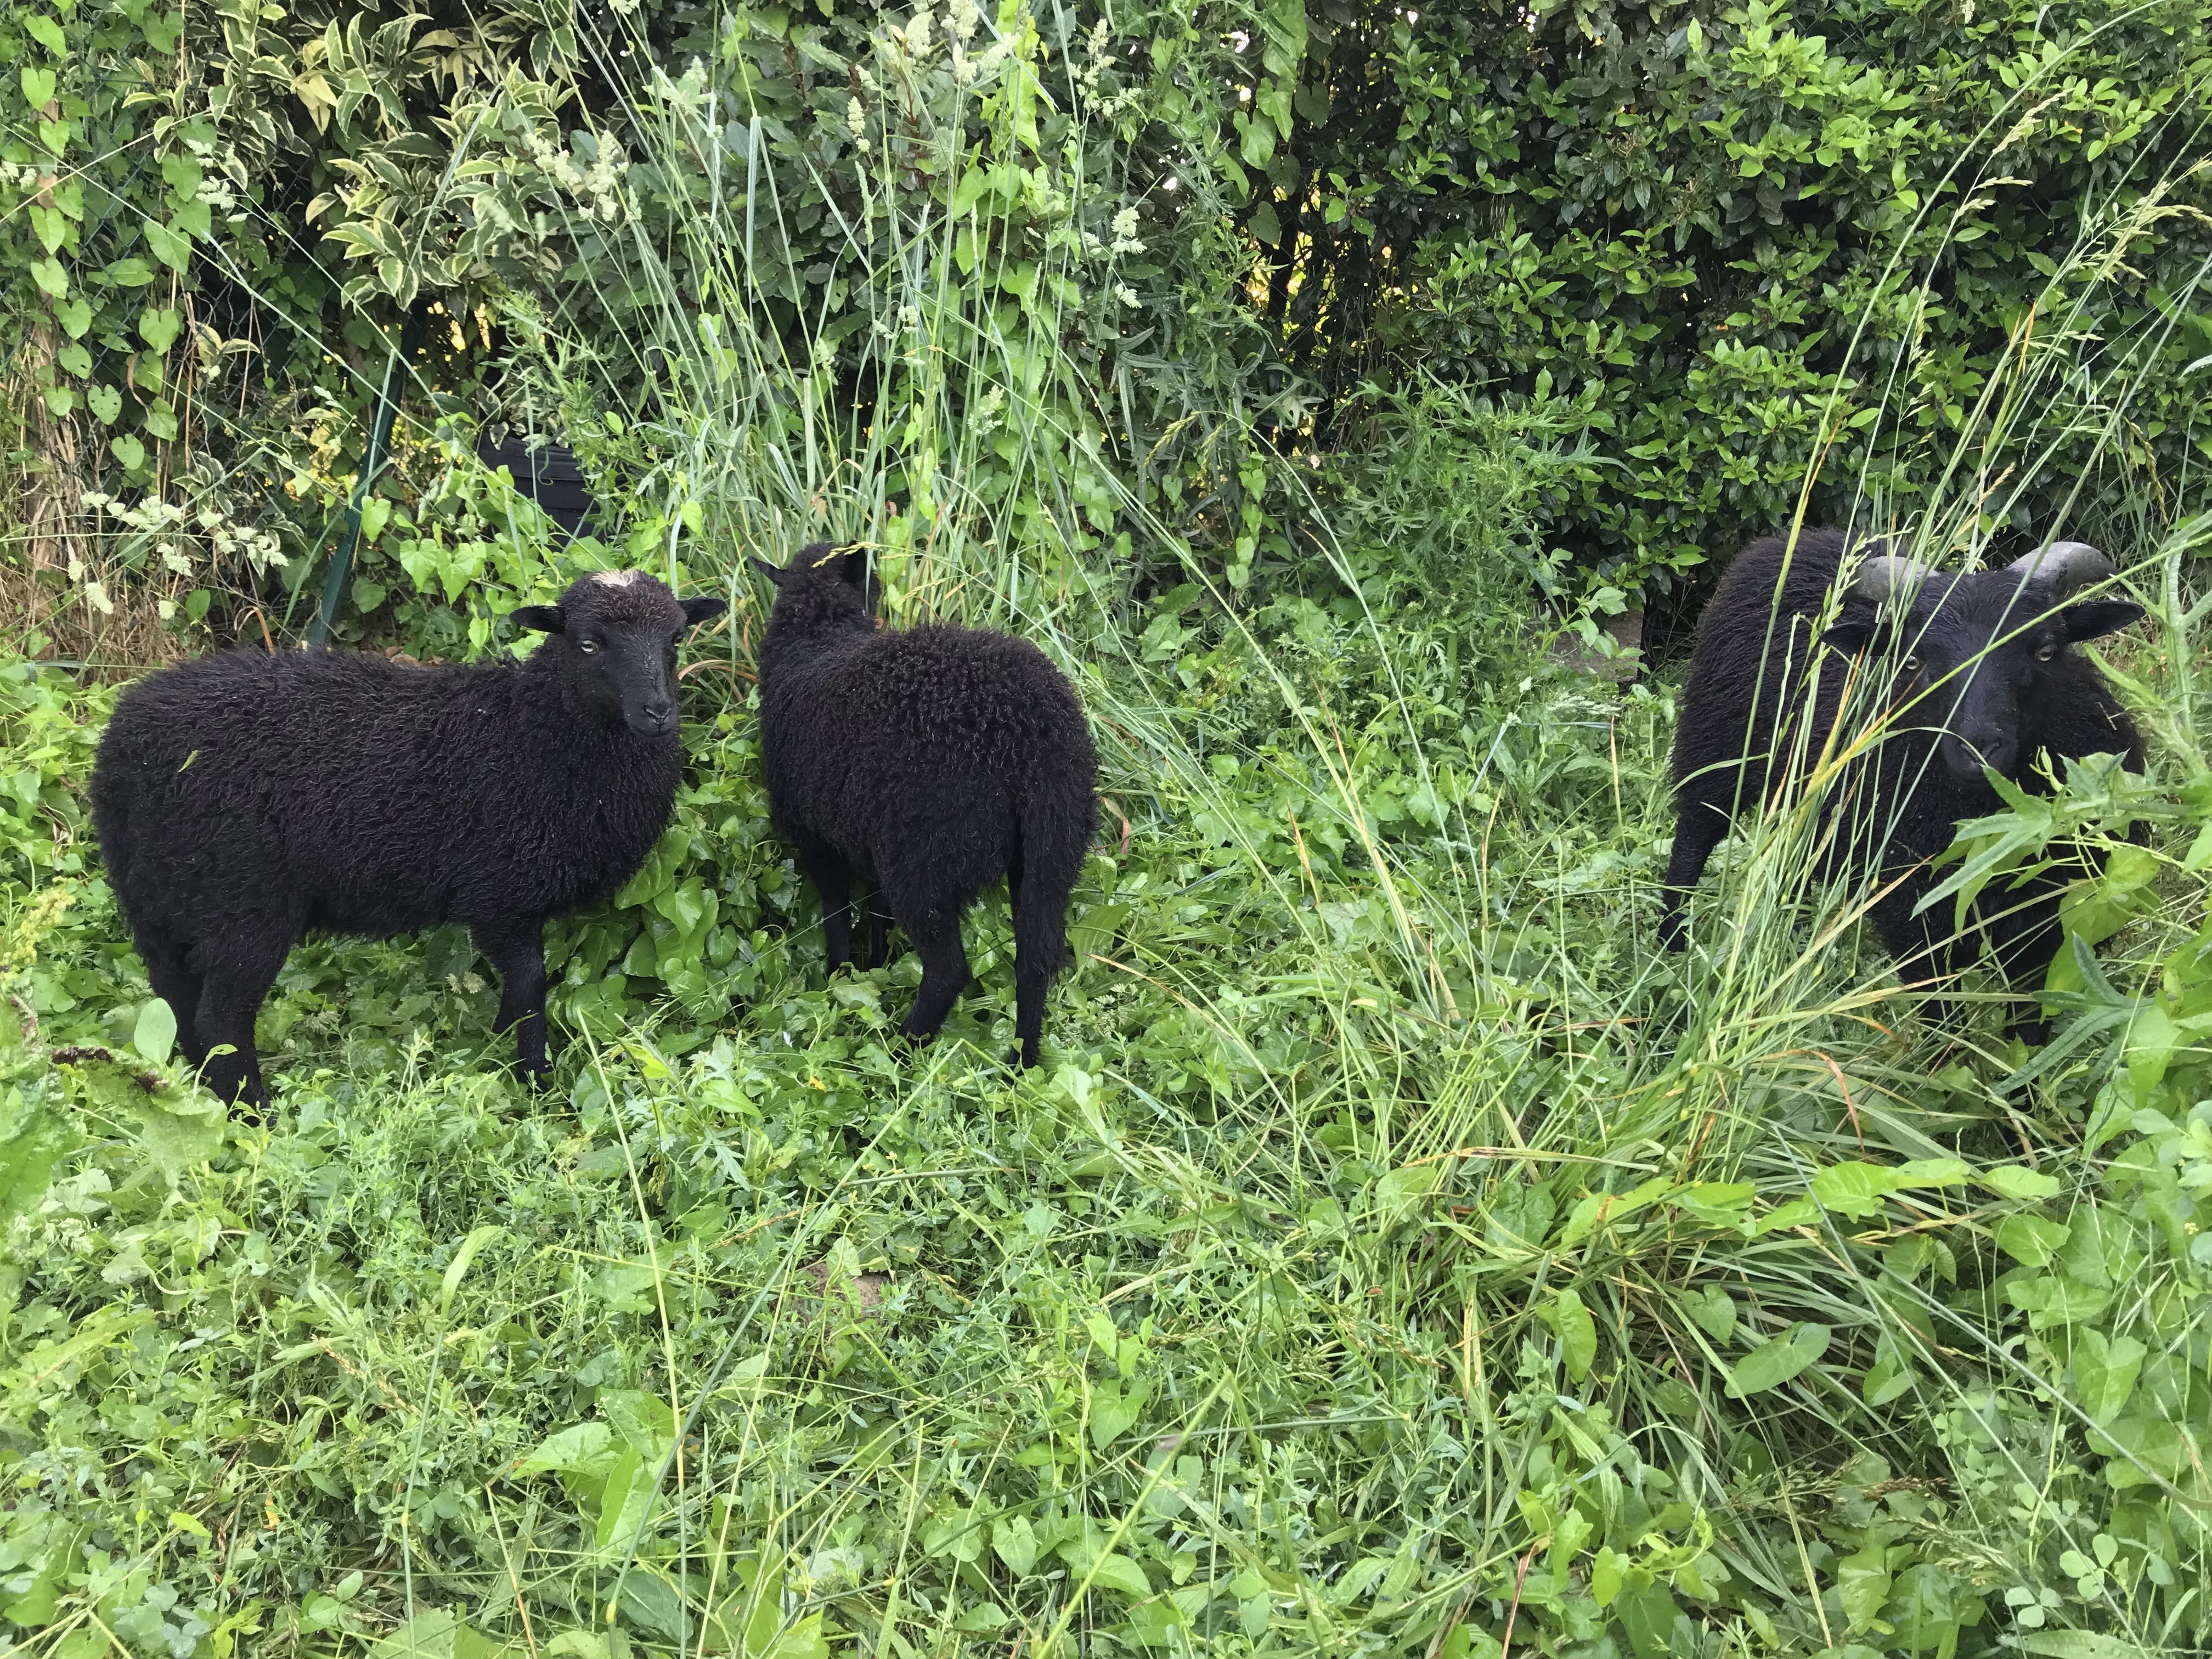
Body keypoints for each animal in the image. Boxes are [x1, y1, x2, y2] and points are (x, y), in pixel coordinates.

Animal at [90, 569, 727, 1111]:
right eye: (590, 644)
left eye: (676, 638)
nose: (658, 711)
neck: (532, 732)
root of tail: (122, 751)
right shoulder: (499, 891)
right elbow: (529, 984)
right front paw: (532, 1080)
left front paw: (498, 1050)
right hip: (241, 902)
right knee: (220, 1019)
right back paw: (253, 1115)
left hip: (156, 899)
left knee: (176, 998)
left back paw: (201, 1091)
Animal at [749, 542, 1097, 1067]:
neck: (818, 641)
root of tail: (1032, 742)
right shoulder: (865, 839)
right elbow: (875, 912)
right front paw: (873, 968)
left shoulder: (819, 839)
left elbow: (836, 910)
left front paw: (838, 980)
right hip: (1055, 846)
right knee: (1035, 960)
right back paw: (1021, 1064)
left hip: (927, 858)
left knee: (949, 970)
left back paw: (900, 1047)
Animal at [1658, 527, 2143, 1038]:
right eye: (1912, 661)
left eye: (2047, 648)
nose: (1977, 749)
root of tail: (1798, 537)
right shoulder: (1912, 916)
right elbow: (1941, 1022)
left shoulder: (2050, 922)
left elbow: (2031, 1023)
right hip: (1716, 744)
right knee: (1693, 839)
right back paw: (1672, 953)